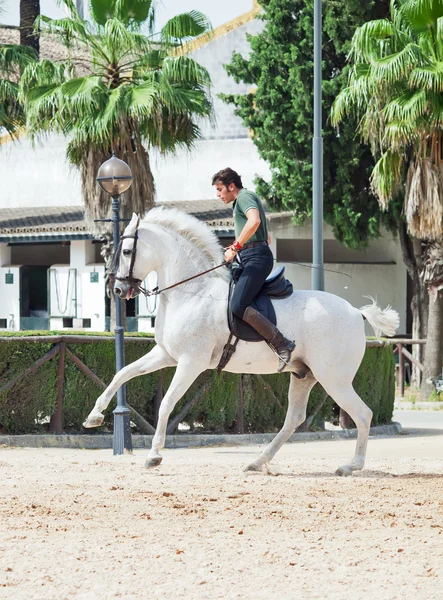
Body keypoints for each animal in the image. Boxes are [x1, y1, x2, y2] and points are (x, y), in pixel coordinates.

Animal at [82, 209, 398, 476]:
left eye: (126, 251)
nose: (119, 290)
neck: (192, 291)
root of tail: (355, 312)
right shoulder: (166, 355)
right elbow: (122, 373)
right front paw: (94, 416)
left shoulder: (190, 362)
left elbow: (167, 403)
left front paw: (154, 455)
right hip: (304, 376)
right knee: (294, 419)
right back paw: (257, 462)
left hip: (334, 379)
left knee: (363, 414)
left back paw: (351, 465)